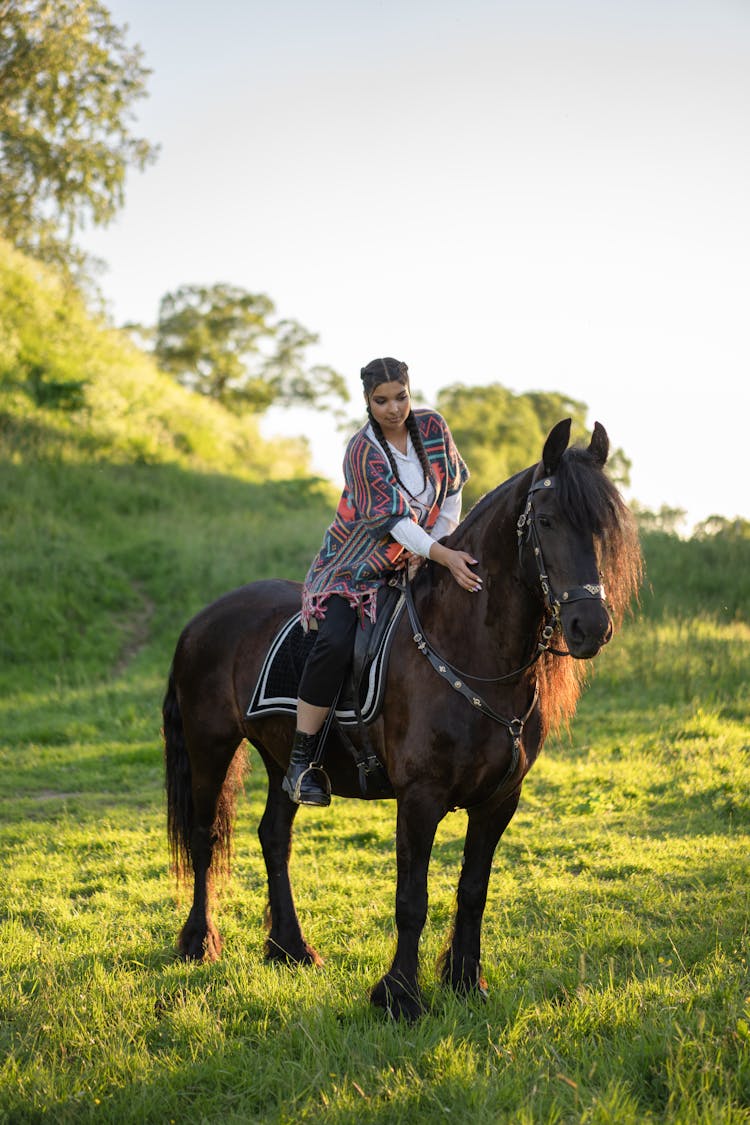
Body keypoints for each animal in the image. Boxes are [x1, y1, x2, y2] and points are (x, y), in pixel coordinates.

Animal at [163, 420, 638, 1021]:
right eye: (548, 520)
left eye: (603, 529)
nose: (589, 627)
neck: (466, 648)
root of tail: (202, 619)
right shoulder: (419, 797)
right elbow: (412, 897)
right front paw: (400, 996)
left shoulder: (499, 801)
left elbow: (473, 891)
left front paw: (466, 981)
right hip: (210, 745)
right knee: (204, 838)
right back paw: (199, 942)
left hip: (280, 758)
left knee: (274, 836)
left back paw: (290, 948)